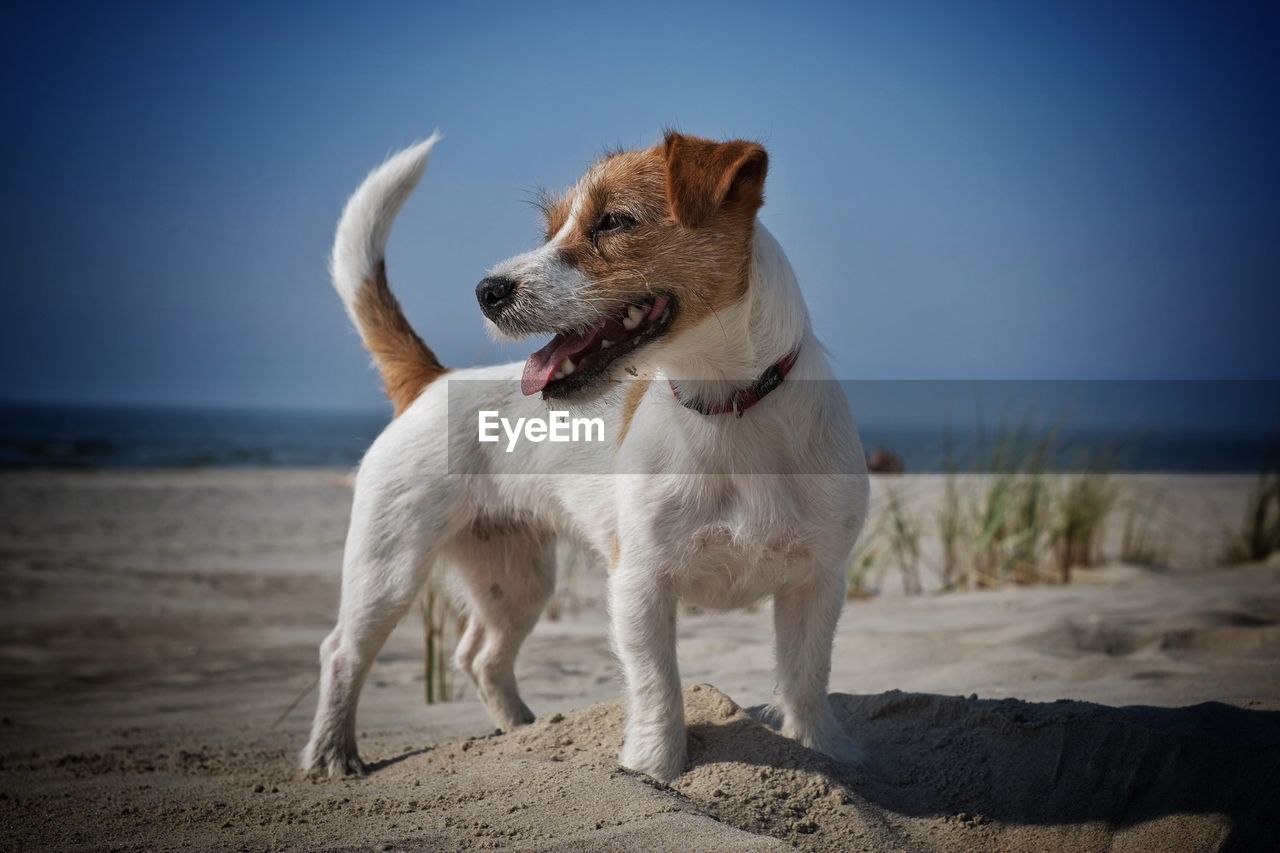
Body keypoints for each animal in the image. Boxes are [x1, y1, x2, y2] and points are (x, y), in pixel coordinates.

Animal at [302, 131, 870, 778]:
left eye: (614, 221)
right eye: (550, 231)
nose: (486, 291)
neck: (727, 409)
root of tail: (431, 381)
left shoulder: (817, 582)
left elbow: (806, 677)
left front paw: (826, 751)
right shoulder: (639, 584)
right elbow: (657, 687)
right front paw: (653, 768)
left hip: (515, 579)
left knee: (480, 656)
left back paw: (525, 731)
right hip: (390, 565)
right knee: (343, 650)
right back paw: (331, 753)